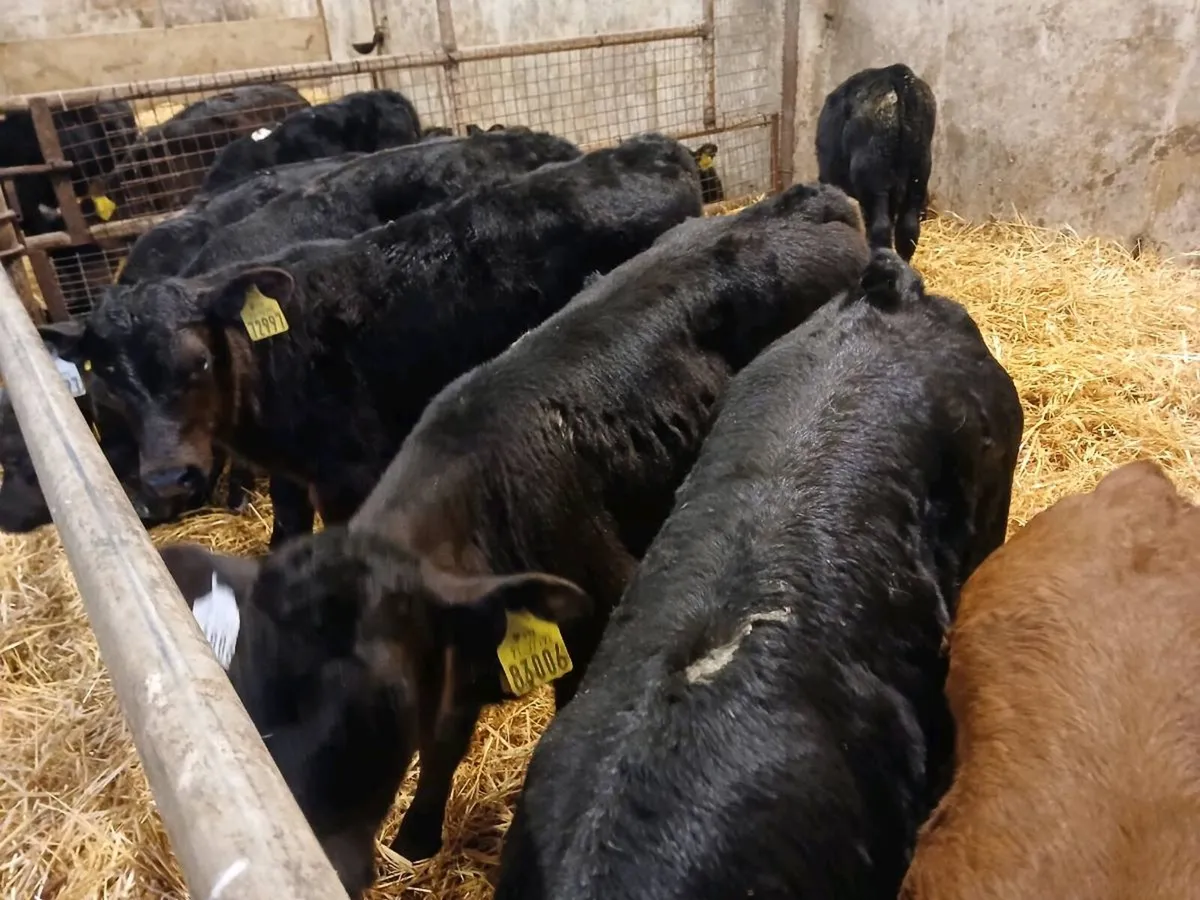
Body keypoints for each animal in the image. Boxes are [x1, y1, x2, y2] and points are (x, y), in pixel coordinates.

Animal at [152, 179, 869, 882]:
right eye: (246, 690)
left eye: (382, 699)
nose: (318, 861)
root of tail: (808, 197)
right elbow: (443, 741)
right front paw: (418, 834)